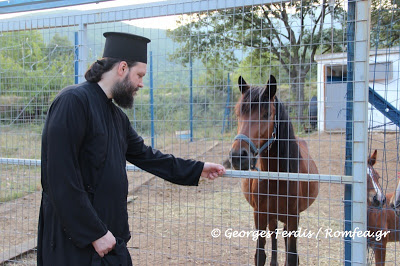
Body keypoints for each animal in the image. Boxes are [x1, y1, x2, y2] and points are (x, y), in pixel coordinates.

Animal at [231, 75, 318, 266]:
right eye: (238, 113)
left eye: (266, 114)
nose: (238, 156)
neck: (276, 178)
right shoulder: (260, 215)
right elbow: (260, 255)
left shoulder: (293, 217)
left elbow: (291, 255)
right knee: (274, 233)